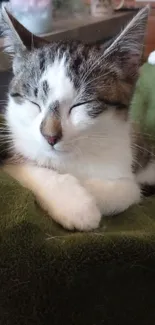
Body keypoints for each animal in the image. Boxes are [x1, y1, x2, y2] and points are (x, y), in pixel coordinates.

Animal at [0, 5, 153, 230]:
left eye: (80, 104)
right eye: (34, 102)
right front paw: (76, 205)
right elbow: (23, 167)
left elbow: (129, 188)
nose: (50, 136)